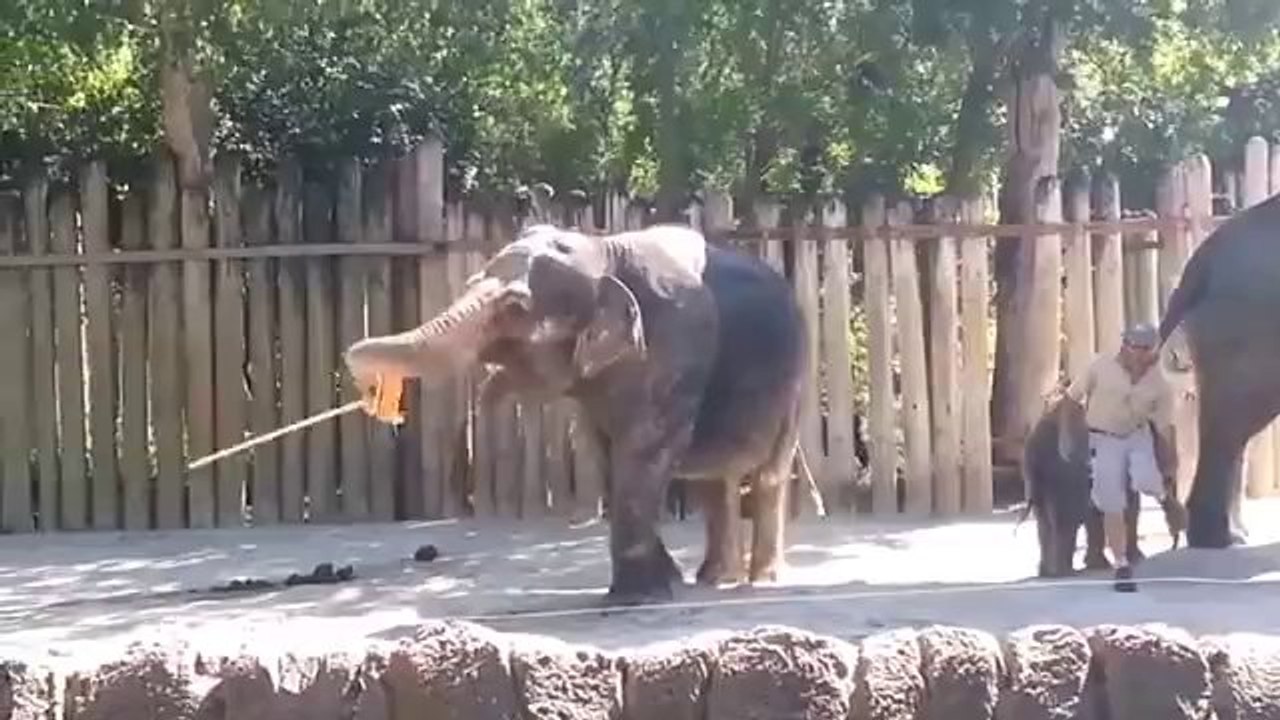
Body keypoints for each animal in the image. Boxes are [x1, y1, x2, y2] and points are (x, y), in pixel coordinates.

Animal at [343, 223, 809, 604]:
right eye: (473, 282)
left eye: (516, 307)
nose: (373, 389)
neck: (603, 249)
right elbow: (604, 455)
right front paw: (662, 584)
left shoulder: (676, 349)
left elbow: (643, 449)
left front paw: (638, 598)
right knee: (716, 481)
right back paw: (715, 579)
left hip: (795, 378)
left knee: (767, 474)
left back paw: (763, 580)